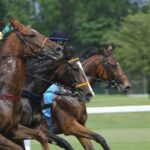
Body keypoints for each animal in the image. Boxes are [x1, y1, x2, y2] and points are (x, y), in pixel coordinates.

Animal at [0, 18, 63, 150]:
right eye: (31, 35)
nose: (58, 48)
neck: (5, 94)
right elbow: (18, 147)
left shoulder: (13, 129)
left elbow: (41, 135)